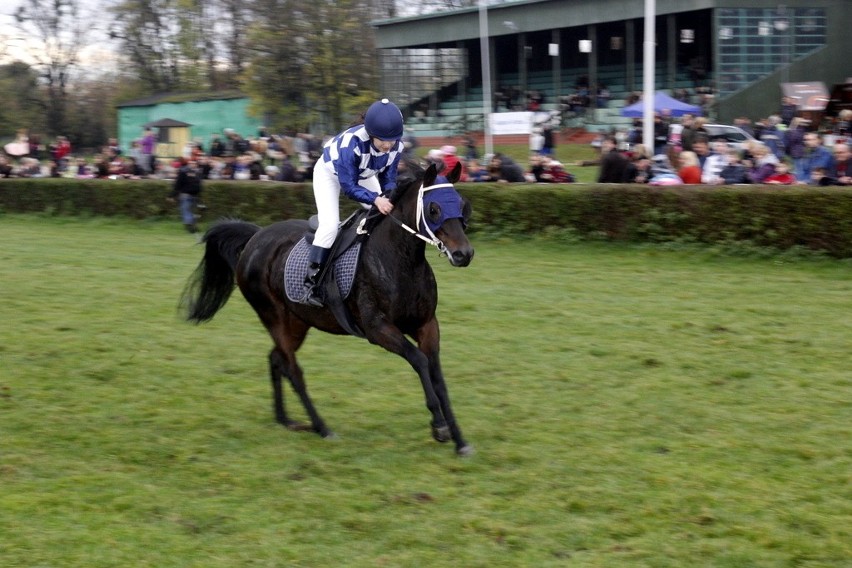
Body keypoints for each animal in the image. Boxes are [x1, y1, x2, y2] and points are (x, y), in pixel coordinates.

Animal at [181, 162, 476, 454]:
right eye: (434, 208)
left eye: (462, 205)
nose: (464, 254)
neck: (401, 260)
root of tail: (256, 237)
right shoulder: (377, 328)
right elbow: (419, 360)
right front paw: (439, 426)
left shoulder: (426, 324)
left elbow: (437, 376)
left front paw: (460, 440)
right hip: (273, 315)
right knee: (293, 369)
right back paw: (322, 427)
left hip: (297, 322)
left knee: (276, 358)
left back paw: (285, 419)